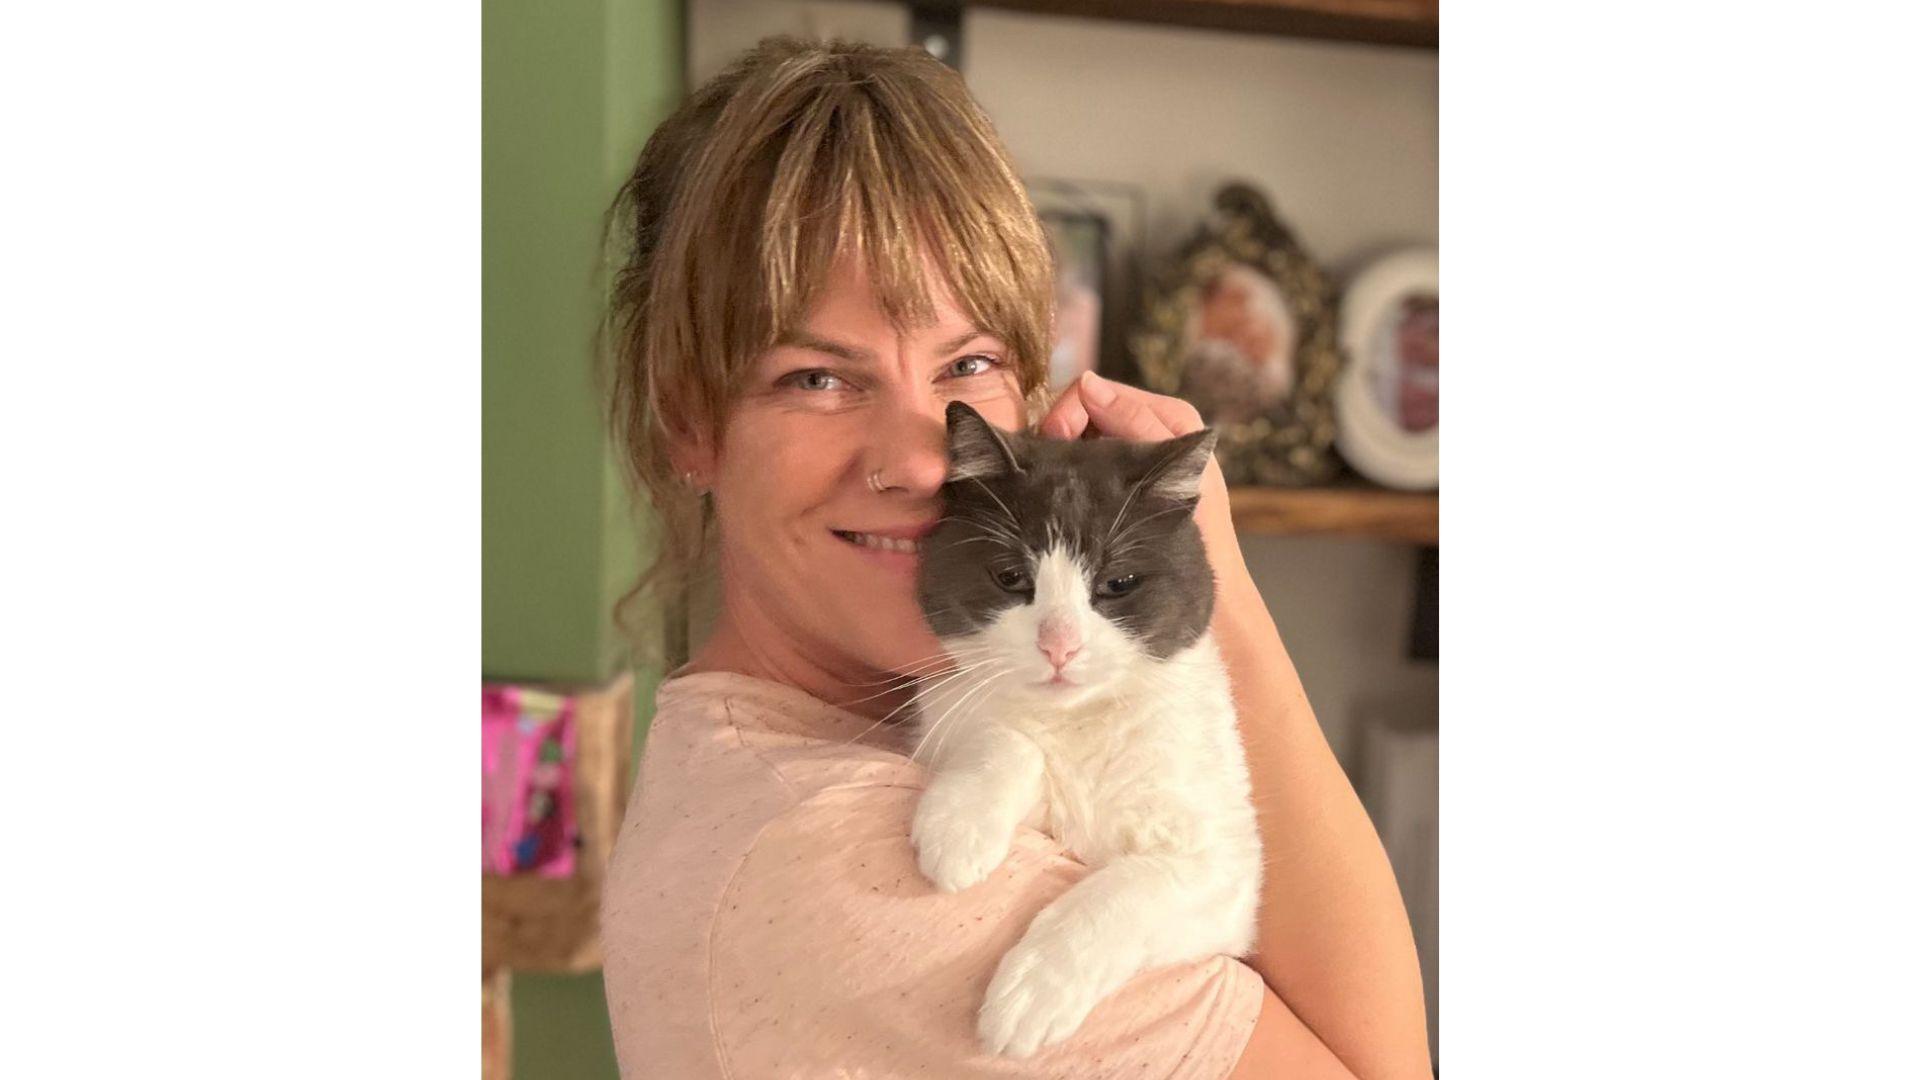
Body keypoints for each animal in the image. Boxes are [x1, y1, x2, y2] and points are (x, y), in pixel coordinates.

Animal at [906, 399, 1267, 1053]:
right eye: (1010, 577)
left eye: (1117, 584)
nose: (1060, 646)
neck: (1078, 725)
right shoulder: (941, 715)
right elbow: (1004, 740)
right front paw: (960, 829)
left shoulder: (1223, 871)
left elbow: (1131, 888)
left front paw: (1033, 990)